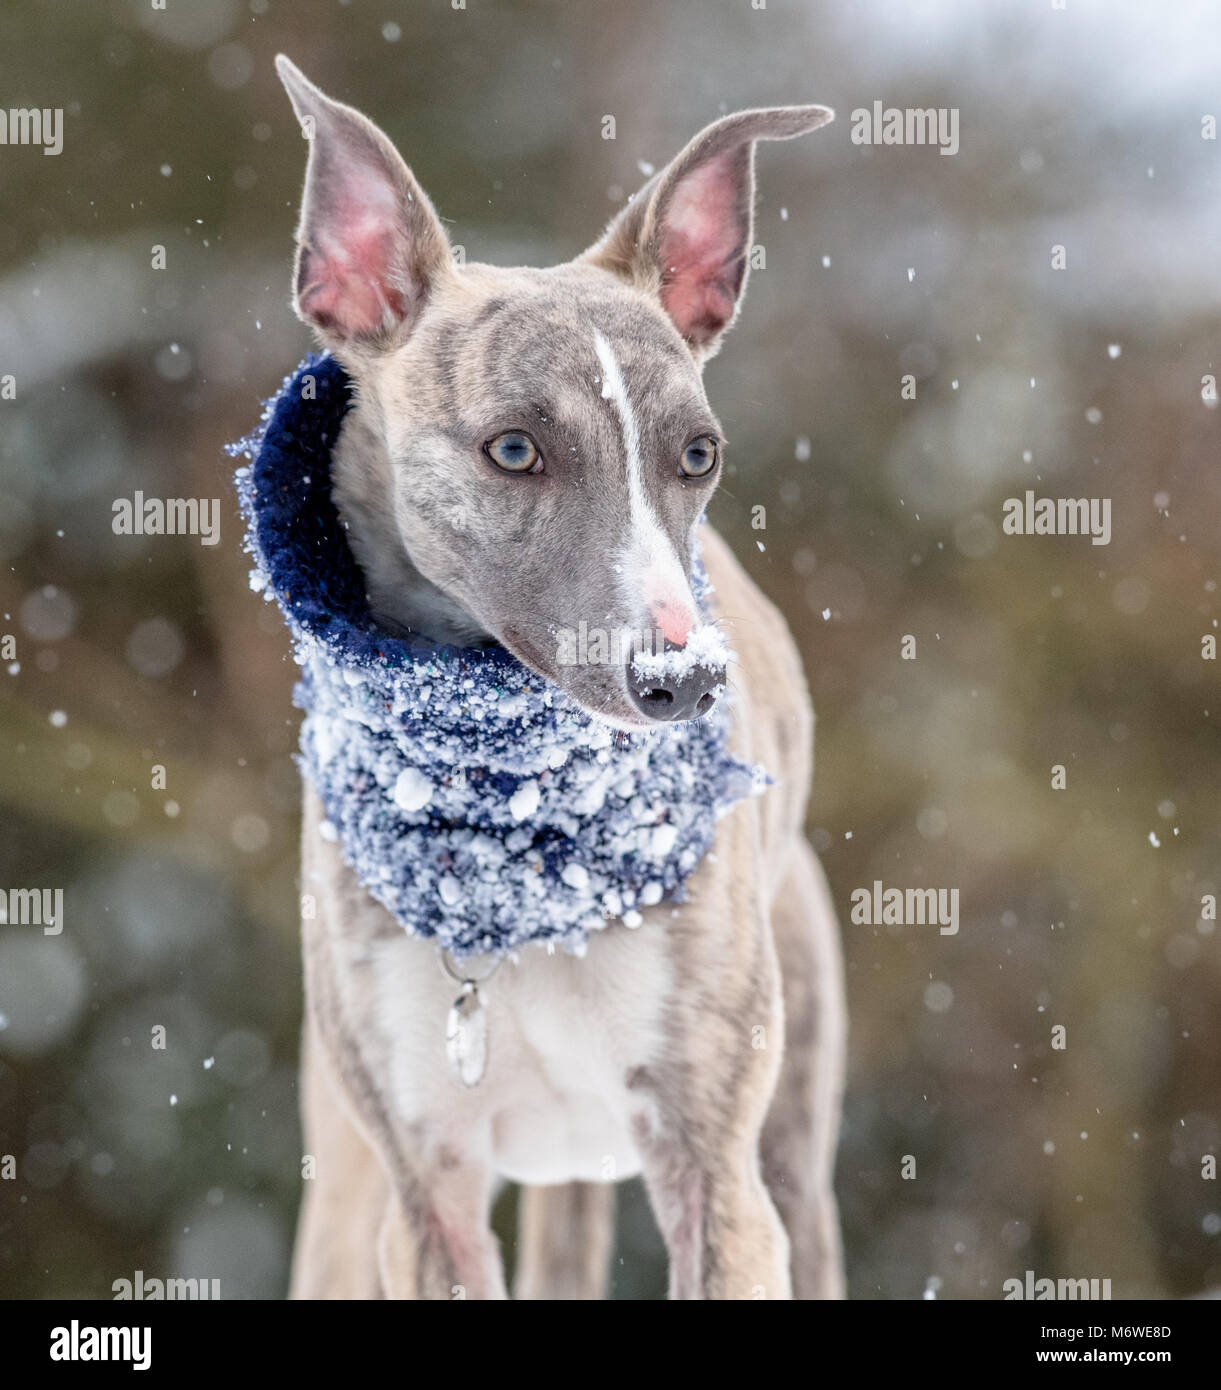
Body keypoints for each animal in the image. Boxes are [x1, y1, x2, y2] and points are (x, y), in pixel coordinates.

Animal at [275, 51, 851, 1289]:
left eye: (699, 453)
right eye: (513, 449)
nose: (682, 682)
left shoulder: (720, 1177)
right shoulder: (424, 1199)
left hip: (791, 1142)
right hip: (345, 1186)